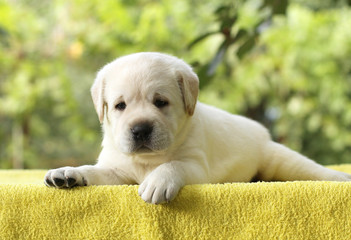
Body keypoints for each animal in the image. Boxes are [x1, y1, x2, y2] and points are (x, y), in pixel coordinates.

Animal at [44, 51, 351, 203]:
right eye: (120, 106)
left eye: (161, 102)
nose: (140, 129)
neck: (147, 160)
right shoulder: (117, 172)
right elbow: (95, 172)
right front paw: (69, 173)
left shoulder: (196, 165)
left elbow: (173, 165)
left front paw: (158, 181)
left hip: (279, 159)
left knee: (313, 170)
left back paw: (340, 177)